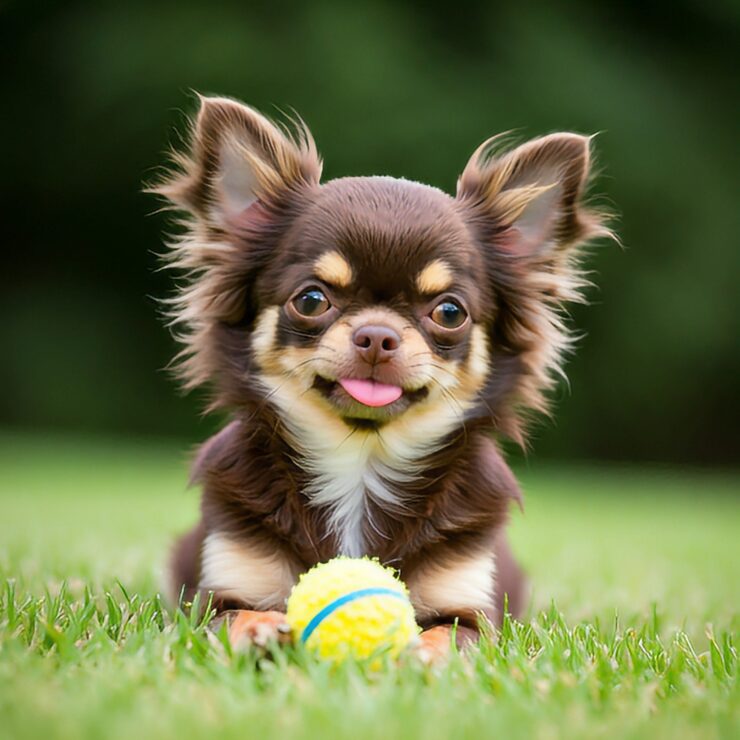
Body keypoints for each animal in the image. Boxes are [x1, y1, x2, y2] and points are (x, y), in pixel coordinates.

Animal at [153, 94, 608, 660]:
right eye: (311, 300)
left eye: (450, 312)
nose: (376, 335)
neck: (360, 461)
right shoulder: (218, 594)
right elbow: (231, 617)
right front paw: (258, 630)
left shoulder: (473, 613)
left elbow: (451, 636)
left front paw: (423, 653)